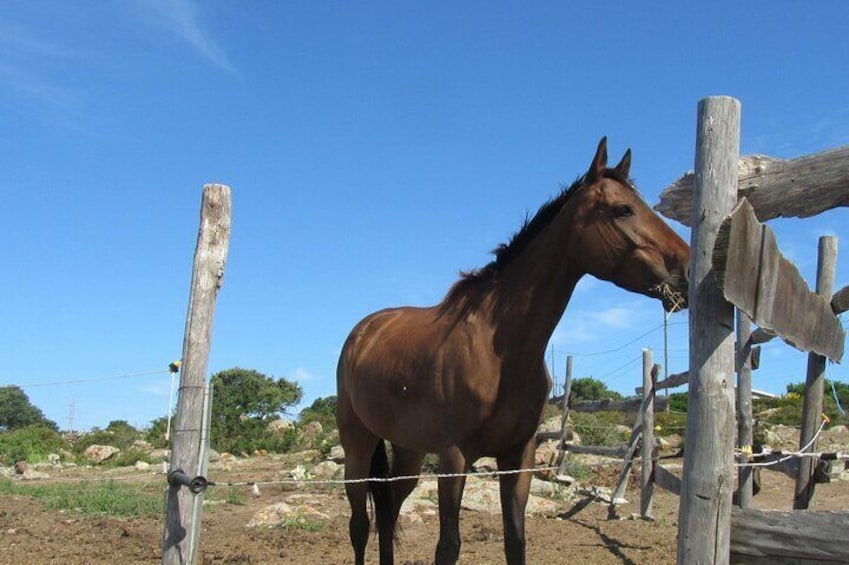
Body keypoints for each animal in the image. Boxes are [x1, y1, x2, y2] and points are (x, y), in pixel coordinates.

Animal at [336, 138, 688, 564]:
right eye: (623, 209)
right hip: (357, 446)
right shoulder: (454, 457)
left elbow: (515, 540)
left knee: (388, 515)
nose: (688, 269)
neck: (499, 349)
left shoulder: (518, 457)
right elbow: (448, 546)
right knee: (360, 525)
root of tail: (362, 332)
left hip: (409, 451)